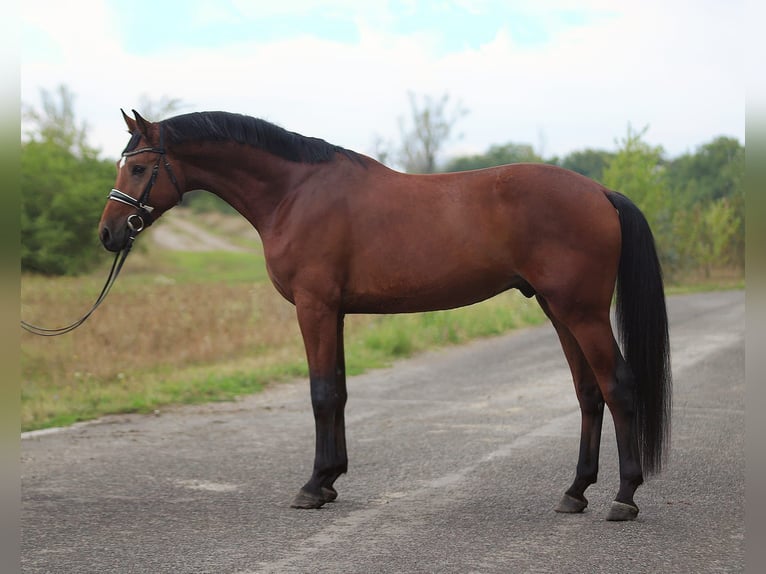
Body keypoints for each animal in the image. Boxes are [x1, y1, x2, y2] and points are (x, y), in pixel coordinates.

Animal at [99, 110, 668, 524]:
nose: (108, 233)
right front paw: (331, 480)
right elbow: (339, 391)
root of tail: (600, 192)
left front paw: (312, 487)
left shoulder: (315, 306)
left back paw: (624, 497)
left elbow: (321, 392)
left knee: (618, 386)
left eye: (140, 168)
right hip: (558, 309)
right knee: (588, 393)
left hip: (582, 312)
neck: (294, 192)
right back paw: (575, 492)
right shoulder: (334, 310)